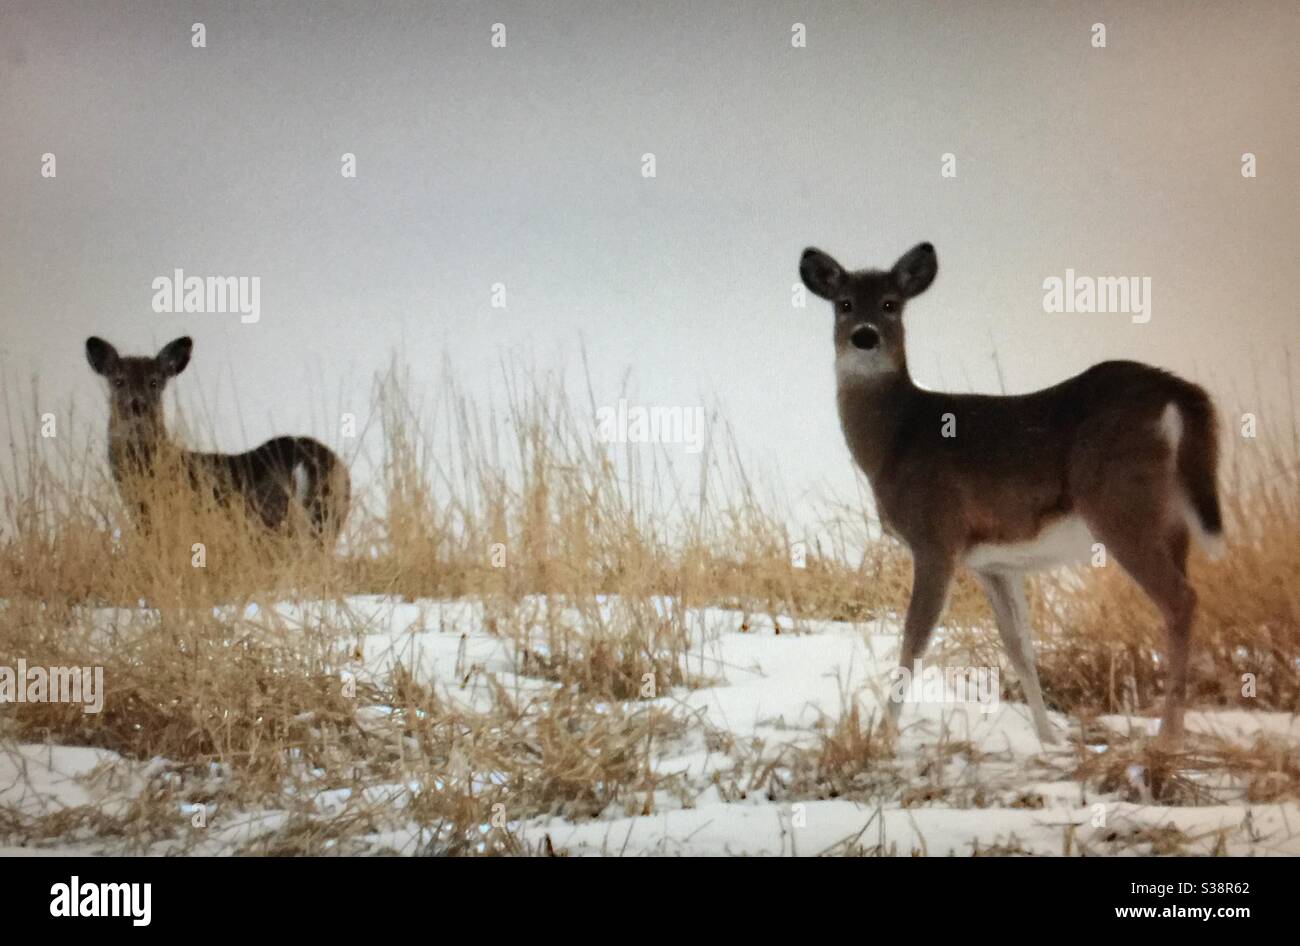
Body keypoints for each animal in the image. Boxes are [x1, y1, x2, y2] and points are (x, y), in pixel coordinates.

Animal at [799, 243, 1223, 748]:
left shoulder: (936, 537)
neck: (895, 441)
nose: (865, 337)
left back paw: (1167, 739)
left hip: (1120, 506)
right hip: (1175, 520)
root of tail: (1178, 394)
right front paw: (1048, 739)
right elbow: (1020, 646)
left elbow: (913, 640)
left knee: (1181, 599)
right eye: (843, 303)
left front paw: (883, 736)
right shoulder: (994, 564)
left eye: (890, 304)